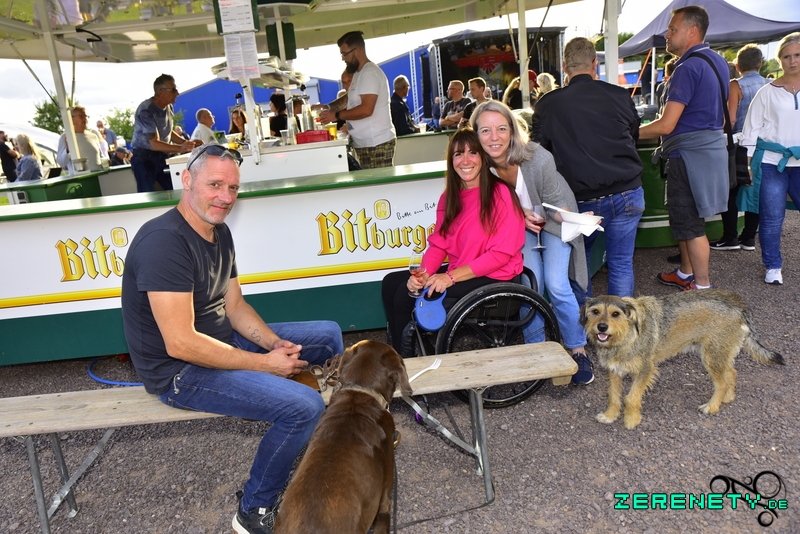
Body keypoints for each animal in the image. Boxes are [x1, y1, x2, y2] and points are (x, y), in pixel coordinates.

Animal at [580, 290, 784, 430]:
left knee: (722, 382)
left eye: (616, 314)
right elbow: (614, 396)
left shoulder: (645, 370)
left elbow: (631, 398)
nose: (602, 327)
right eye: (595, 312)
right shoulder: (615, 371)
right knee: (732, 372)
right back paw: (727, 398)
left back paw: (712, 406)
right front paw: (610, 416)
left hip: (711, 357)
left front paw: (631, 420)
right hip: (719, 355)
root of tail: (737, 304)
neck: (627, 335)